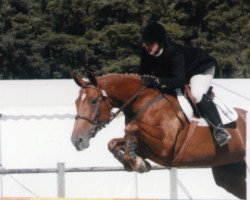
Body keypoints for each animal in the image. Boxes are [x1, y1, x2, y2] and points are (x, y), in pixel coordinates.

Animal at [71, 72, 247, 198]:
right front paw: (134, 162)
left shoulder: (166, 147)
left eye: (94, 101)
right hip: (230, 174)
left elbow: (131, 127)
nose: (77, 141)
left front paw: (135, 162)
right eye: (76, 102)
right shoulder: (145, 147)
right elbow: (114, 142)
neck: (143, 102)